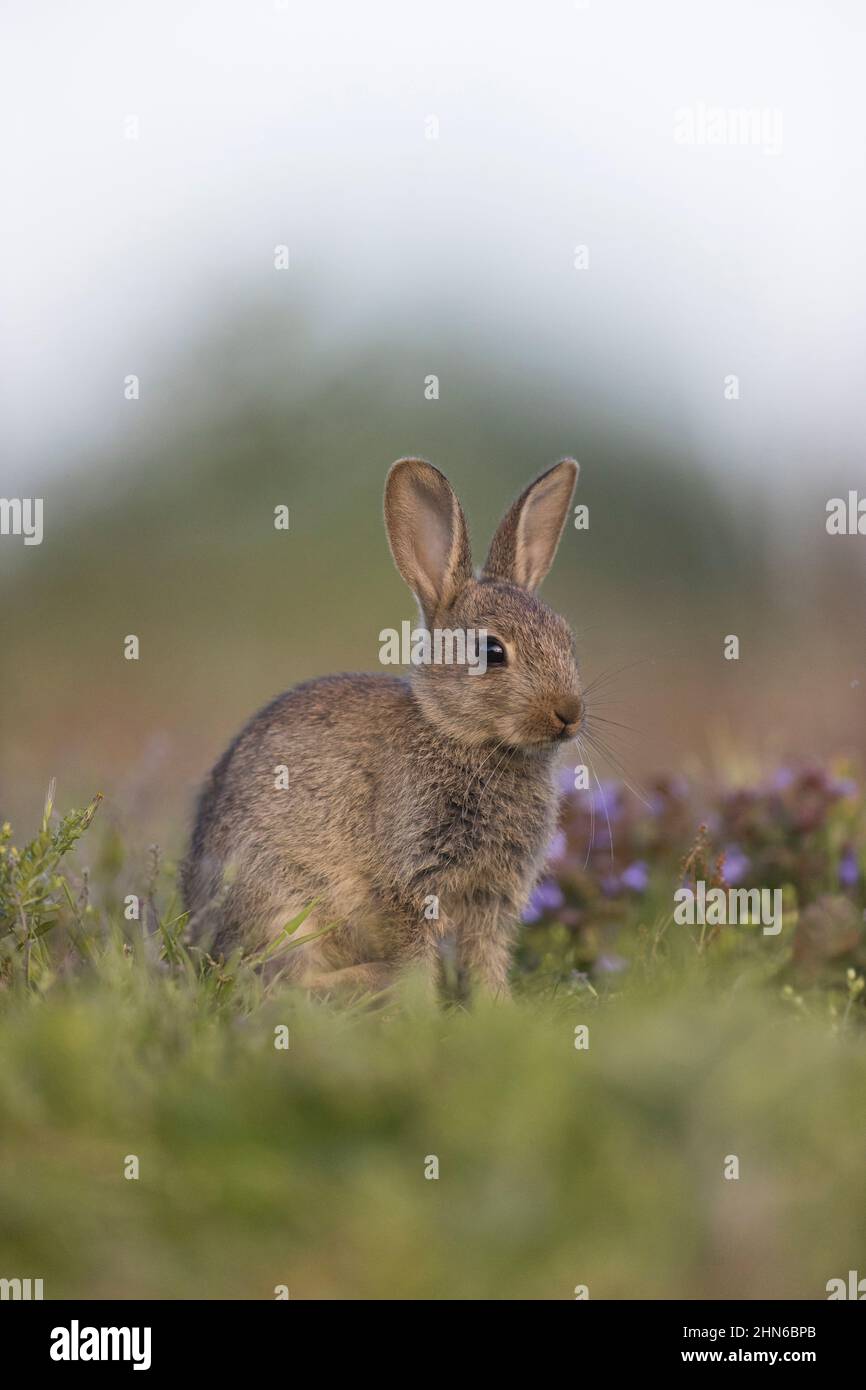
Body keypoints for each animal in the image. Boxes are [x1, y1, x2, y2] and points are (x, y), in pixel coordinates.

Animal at [181, 457, 584, 999]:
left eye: (567, 639)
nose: (569, 712)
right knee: (281, 981)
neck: (459, 735)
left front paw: (500, 1008)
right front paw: (422, 1007)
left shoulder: (492, 895)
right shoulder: (409, 882)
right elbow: (416, 956)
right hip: (282, 900)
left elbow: (487, 958)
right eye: (491, 651)